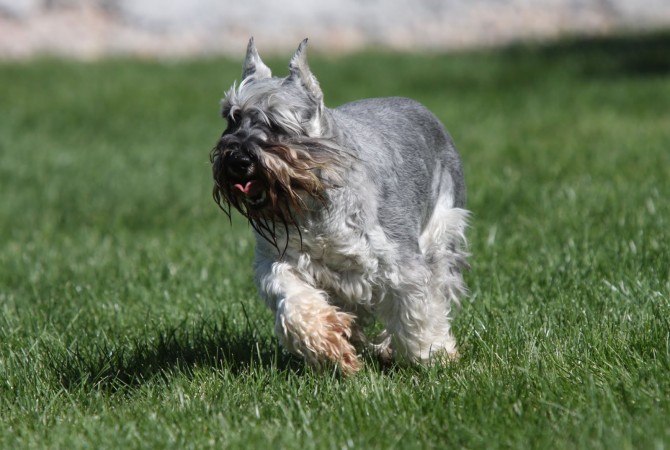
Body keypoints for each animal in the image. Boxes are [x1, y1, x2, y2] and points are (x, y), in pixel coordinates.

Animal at [213, 38, 470, 374]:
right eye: (232, 118)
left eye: (276, 122)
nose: (237, 161)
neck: (314, 201)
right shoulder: (279, 262)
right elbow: (294, 305)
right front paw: (328, 345)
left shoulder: (402, 264)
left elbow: (418, 309)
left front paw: (433, 355)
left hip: (440, 233)